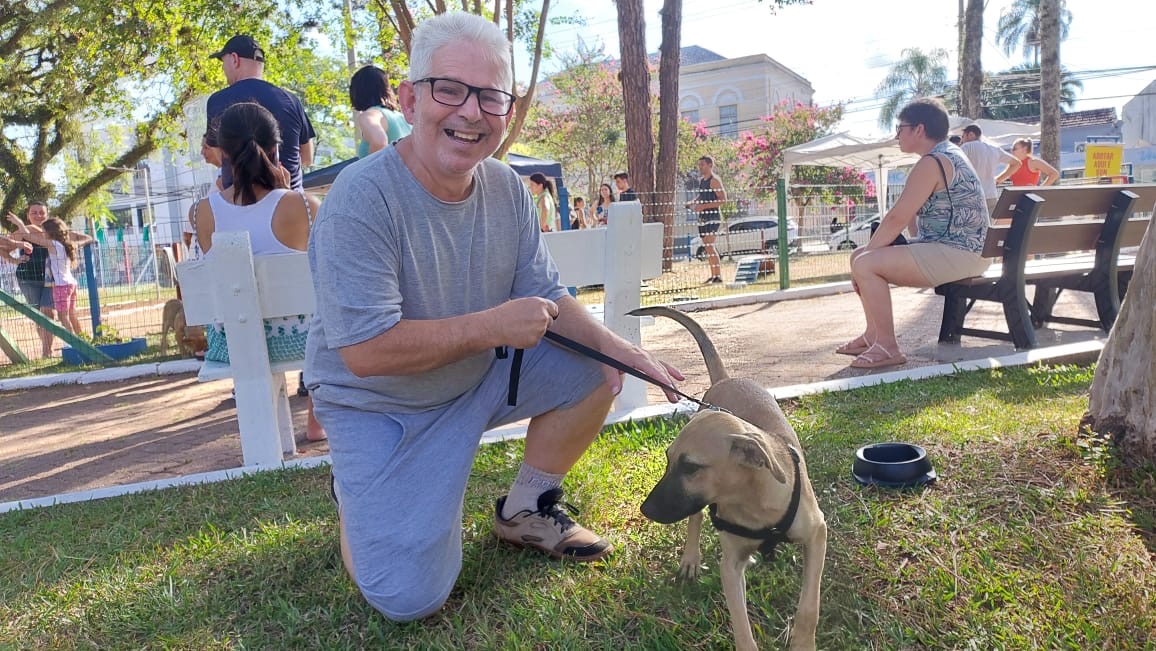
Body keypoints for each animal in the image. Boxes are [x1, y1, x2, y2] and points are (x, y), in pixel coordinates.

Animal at [633, 307, 823, 651]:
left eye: (690, 467)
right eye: (668, 460)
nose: (646, 510)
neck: (752, 502)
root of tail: (725, 379)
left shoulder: (817, 534)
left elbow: (809, 605)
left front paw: (803, 642)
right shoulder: (730, 564)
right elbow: (741, 624)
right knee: (695, 518)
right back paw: (690, 559)